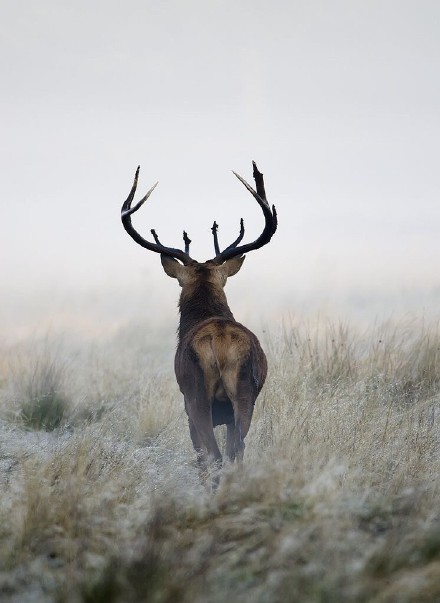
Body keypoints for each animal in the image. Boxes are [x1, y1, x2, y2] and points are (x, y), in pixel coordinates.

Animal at [122, 162, 276, 482]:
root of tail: (220, 343)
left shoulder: (186, 406)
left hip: (196, 398)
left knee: (213, 456)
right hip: (246, 395)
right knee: (236, 452)